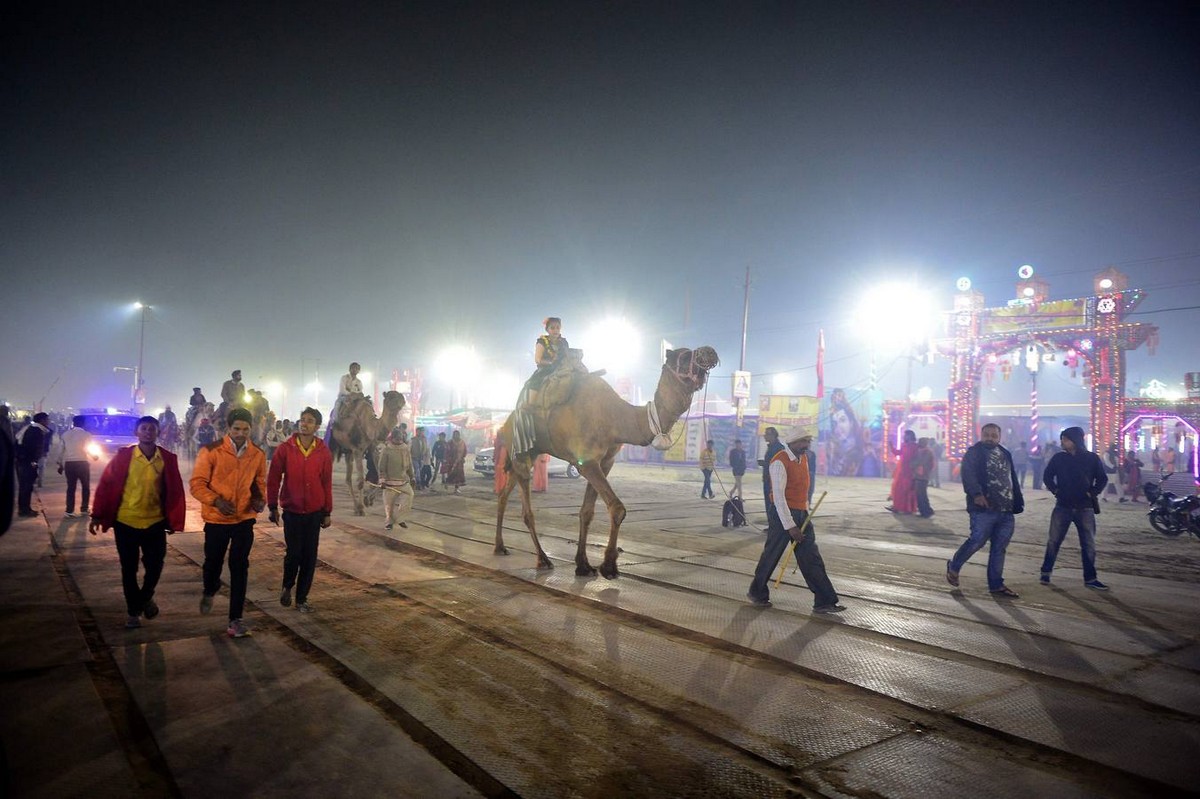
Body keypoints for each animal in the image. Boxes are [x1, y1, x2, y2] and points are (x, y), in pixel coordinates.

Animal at [492, 345, 715, 575]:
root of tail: (504, 424)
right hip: (521, 450)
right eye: (685, 355)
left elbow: (587, 512)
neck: (615, 417)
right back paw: (543, 559)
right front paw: (608, 565)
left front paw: (583, 564)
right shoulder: (587, 461)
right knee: (526, 508)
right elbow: (617, 508)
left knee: (503, 495)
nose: (710, 351)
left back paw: (500, 546)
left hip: (526, 454)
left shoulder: (605, 462)